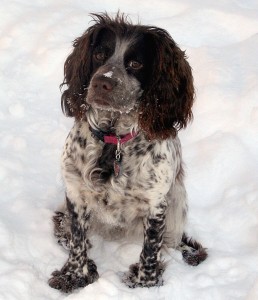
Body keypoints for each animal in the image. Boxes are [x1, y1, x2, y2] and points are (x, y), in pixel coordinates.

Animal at [49, 12, 208, 292]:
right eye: (99, 55)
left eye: (135, 63)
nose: (102, 82)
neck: (114, 141)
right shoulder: (76, 192)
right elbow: (77, 240)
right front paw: (74, 276)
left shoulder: (156, 203)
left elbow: (151, 249)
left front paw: (145, 284)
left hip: (177, 203)